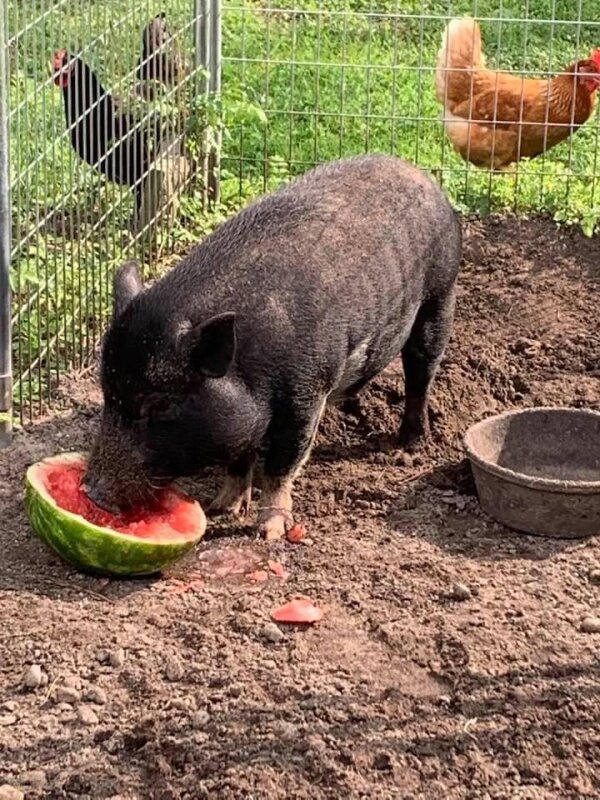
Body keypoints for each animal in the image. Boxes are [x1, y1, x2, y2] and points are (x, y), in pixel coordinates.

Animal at [85, 155, 462, 539]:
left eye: (160, 404)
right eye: (107, 394)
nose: (91, 492)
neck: (248, 363)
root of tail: (419, 174)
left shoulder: (307, 393)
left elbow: (282, 464)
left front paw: (269, 532)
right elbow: (239, 455)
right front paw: (221, 508)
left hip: (441, 292)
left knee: (422, 369)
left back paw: (411, 442)